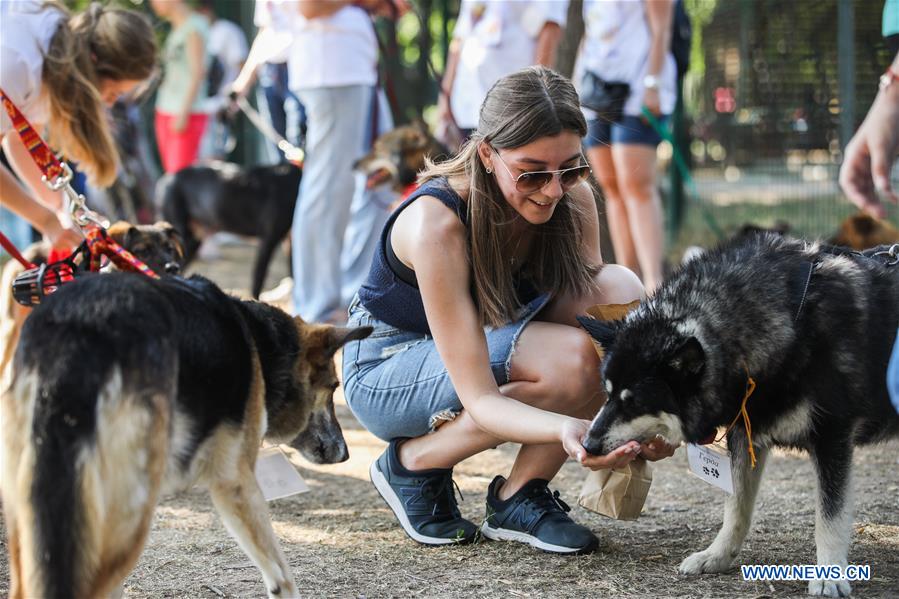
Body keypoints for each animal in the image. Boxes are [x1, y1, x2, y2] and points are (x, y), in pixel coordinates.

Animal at [0, 274, 372, 596]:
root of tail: (79, 331)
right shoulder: (236, 484)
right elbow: (282, 575)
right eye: (334, 387)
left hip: (35, 516)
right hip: (128, 512)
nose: (345, 453)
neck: (260, 342)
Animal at [156, 162, 302, 298]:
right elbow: (258, 278)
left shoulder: (291, 242)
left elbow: (294, 273)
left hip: (192, 241)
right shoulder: (268, 240)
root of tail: (167, 179)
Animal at [576, 234, 899, 599]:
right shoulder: (746, 435)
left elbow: (830, 515)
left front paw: (830, 574)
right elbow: (736, 508)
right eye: (607, 394)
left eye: (634, 403)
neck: (793, 320)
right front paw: (716, 556)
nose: (588, 445)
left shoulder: (832, 438)